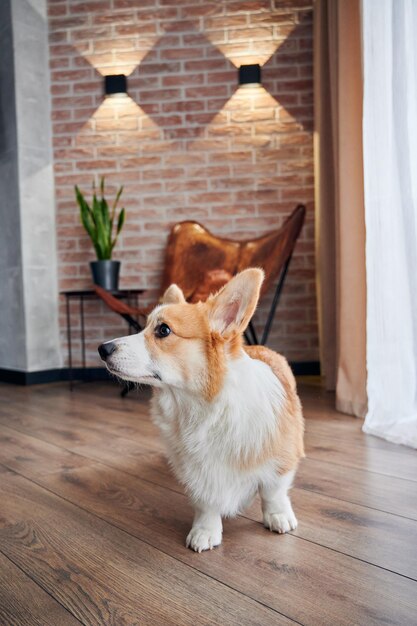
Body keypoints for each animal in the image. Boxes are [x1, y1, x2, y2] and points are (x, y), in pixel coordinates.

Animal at [99, 268, 304, 552]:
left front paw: (278, 515)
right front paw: (205, 531)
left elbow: (273, 490)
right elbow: (205, 501)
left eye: (163, 330)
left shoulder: (281, 457)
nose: (102, 348)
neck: (201, 408)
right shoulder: (195, 471)